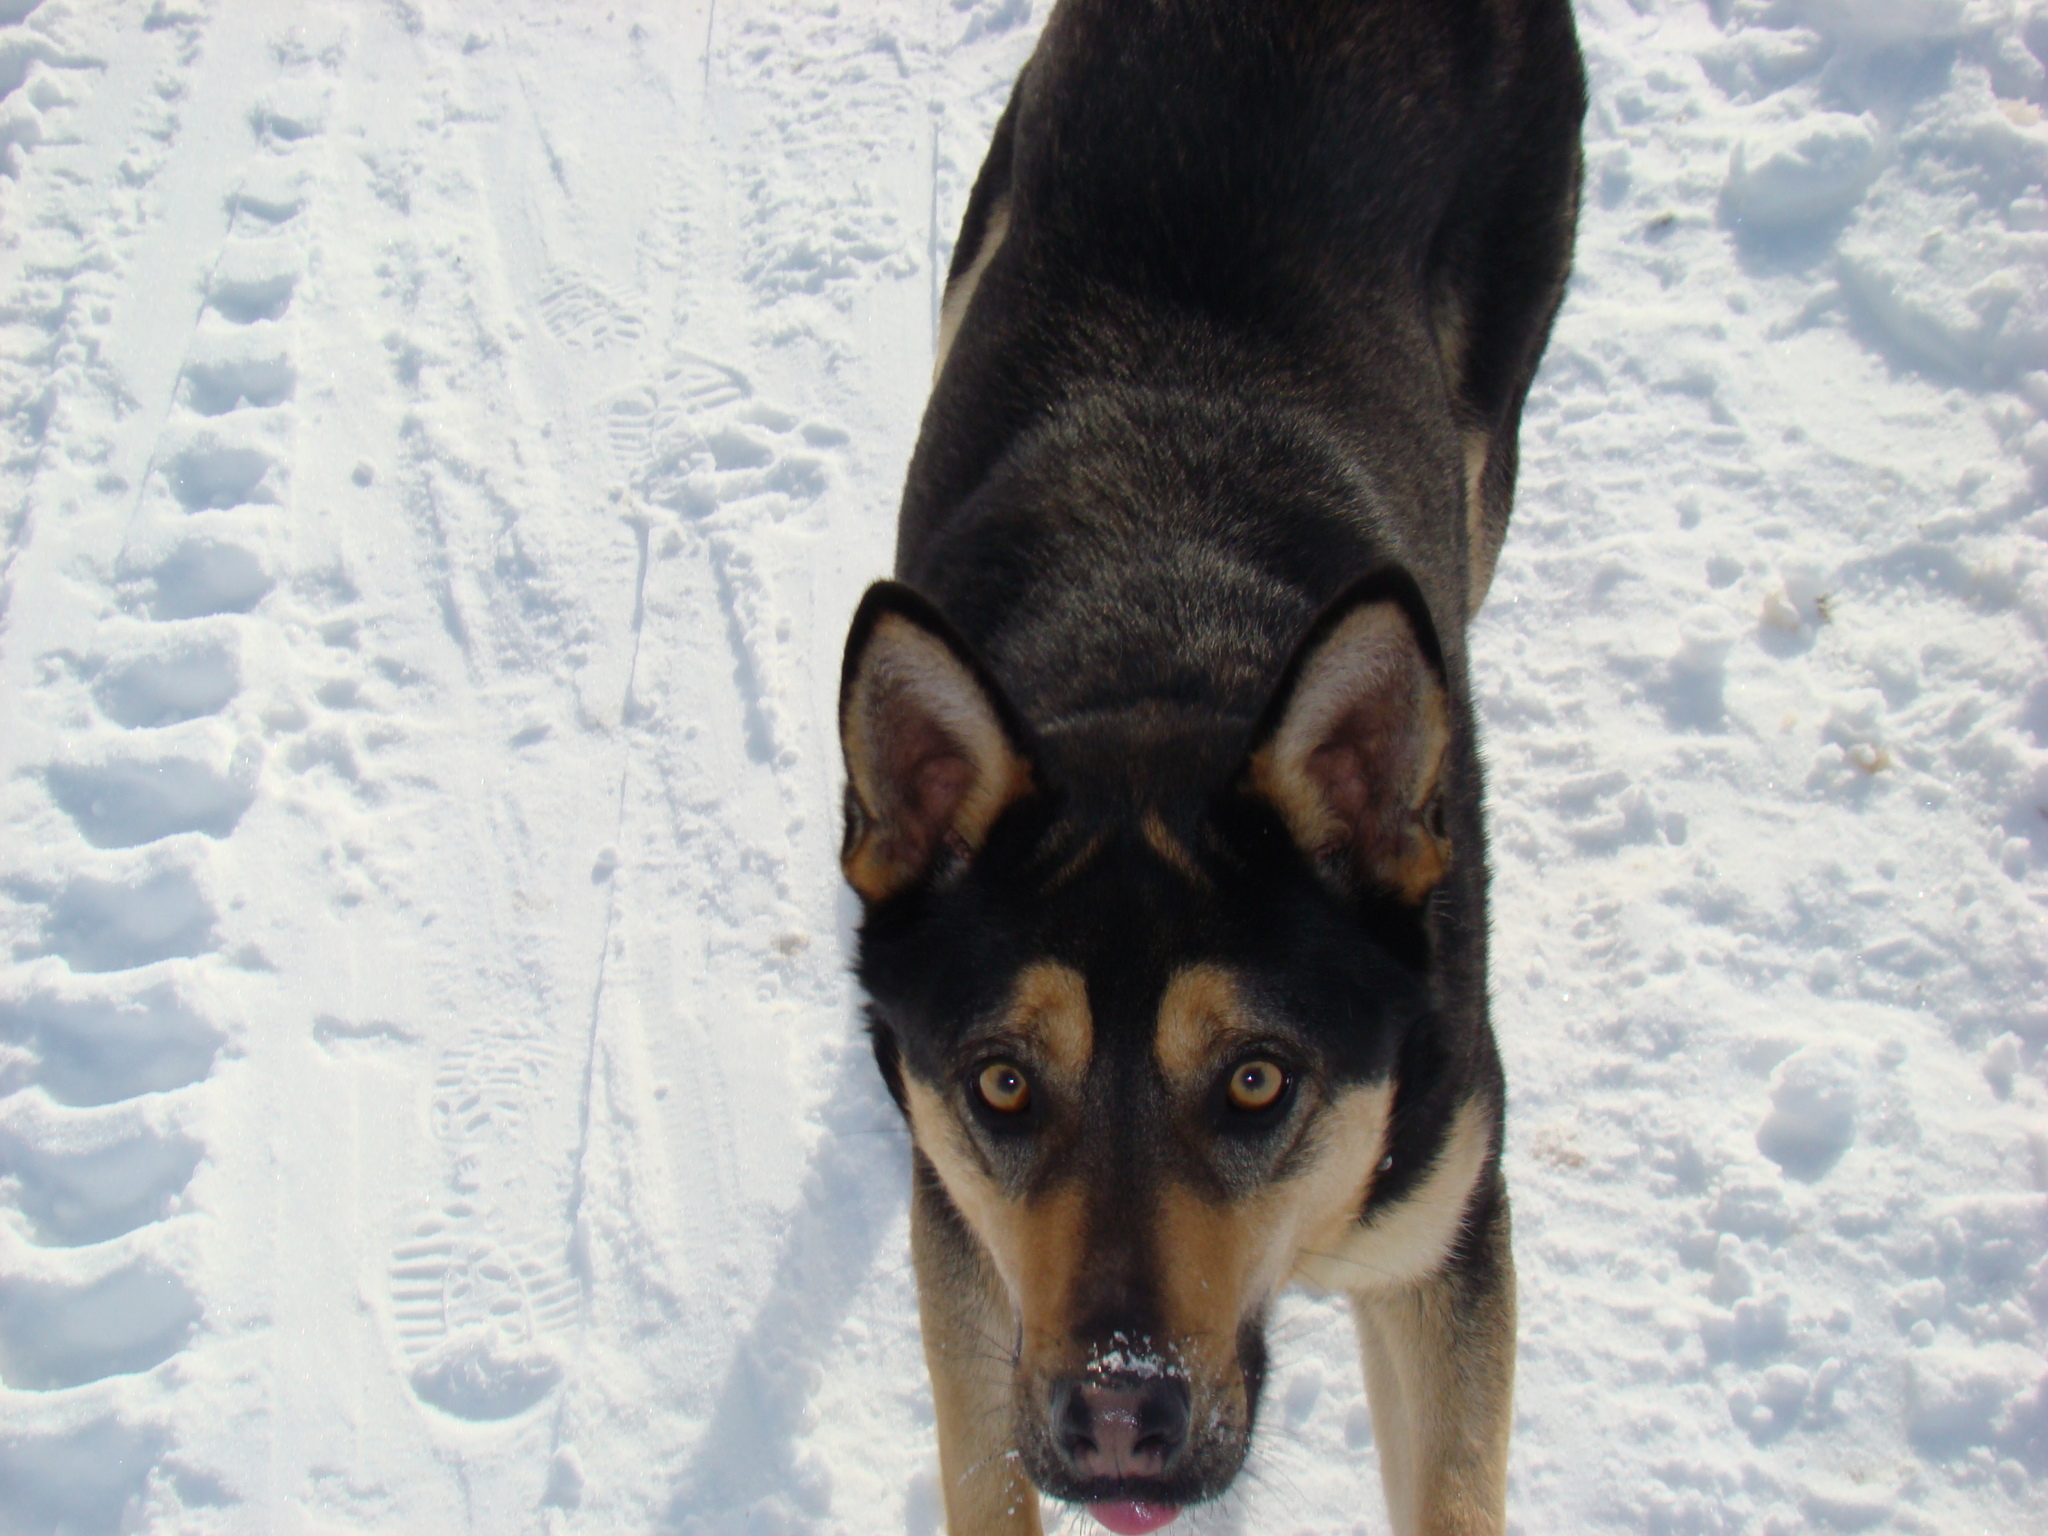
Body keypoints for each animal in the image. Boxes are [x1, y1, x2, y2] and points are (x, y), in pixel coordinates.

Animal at [831, 6, 1581, 1531]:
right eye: (1002, 1085)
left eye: (1255, 1082)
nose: (1122, 1417)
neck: (1154, 653)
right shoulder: (964, 1249)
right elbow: (983, 1461)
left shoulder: (1443, 1236)